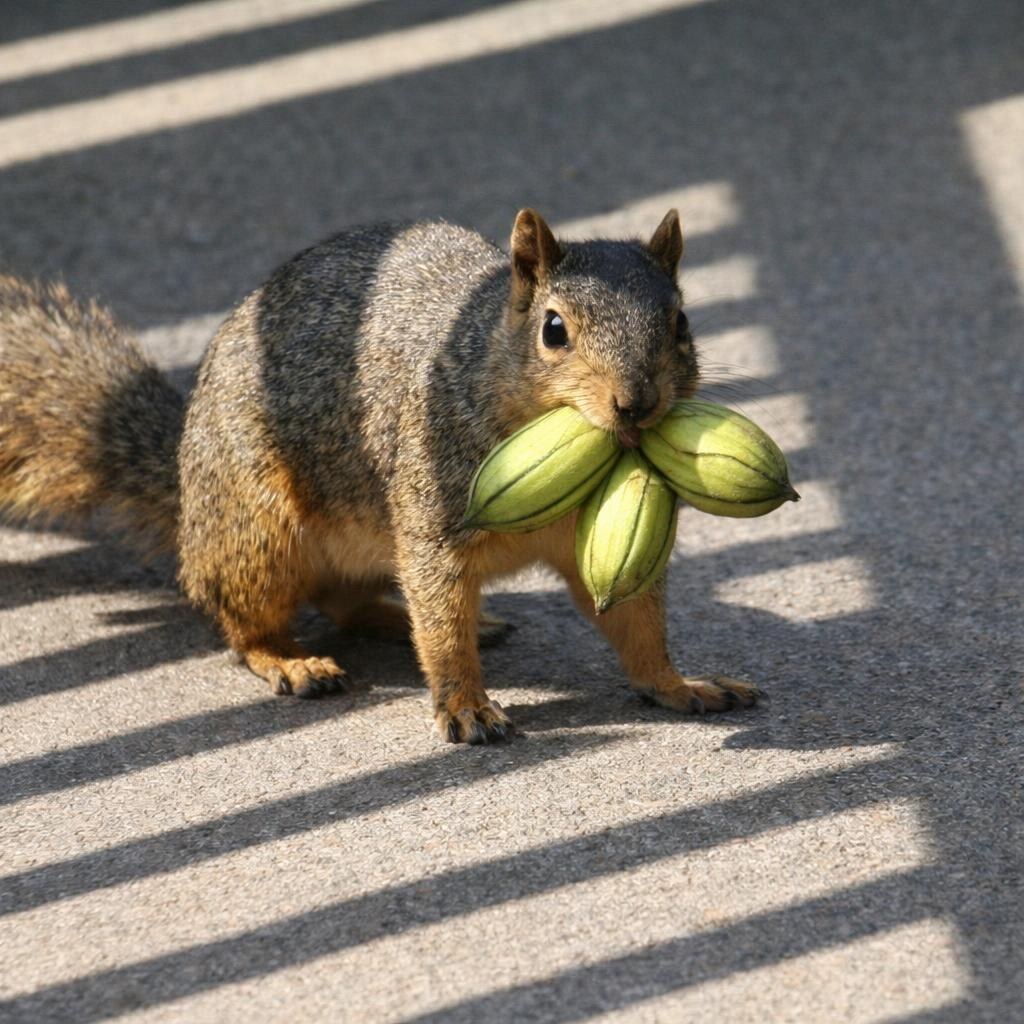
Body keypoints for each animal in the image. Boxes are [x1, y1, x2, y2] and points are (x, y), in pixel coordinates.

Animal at [0, 209, 759, 743]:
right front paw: (466, 706)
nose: (637, 403)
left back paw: (417, 620)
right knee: (242, 621)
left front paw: (679, 684)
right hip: (258, 529)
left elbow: (636, 623)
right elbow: (442, 619)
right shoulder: (430, 521)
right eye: (553, 330)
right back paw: (292, 661)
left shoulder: (601, 547)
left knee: (345, 601)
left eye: (681, 322)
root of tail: (188, 496)